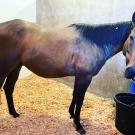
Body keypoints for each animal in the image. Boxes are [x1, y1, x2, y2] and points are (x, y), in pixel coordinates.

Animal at [0, 11, 134, 134]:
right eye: (132, 37)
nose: (131, 72)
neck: (94, 43)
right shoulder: (85, 77)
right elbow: (80, 100)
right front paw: (79, 125)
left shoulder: (79, 76)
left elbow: (75, 95)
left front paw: (71, 114)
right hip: (5, 69)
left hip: (15, 67)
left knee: (8, 88)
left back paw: (14, 113)